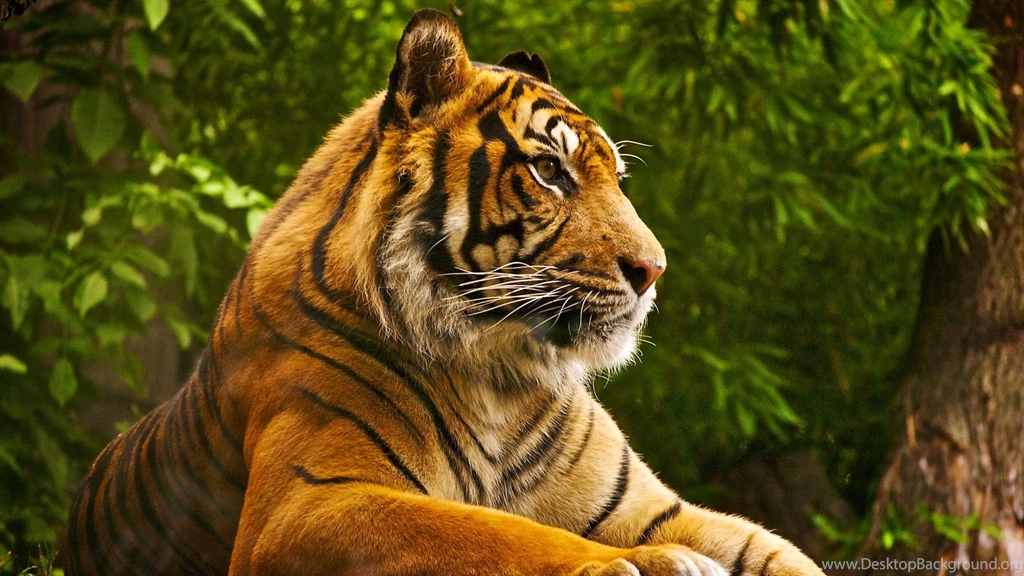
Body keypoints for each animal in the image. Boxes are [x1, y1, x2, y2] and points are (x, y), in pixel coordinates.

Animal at [63, 9, 826, 576]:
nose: (654, 269)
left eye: (616, 176)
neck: (500, 375)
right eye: (549, 171)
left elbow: (782, 553)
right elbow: (492, 533)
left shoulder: (650, 508)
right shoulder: (306, 502)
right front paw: (642, 564)